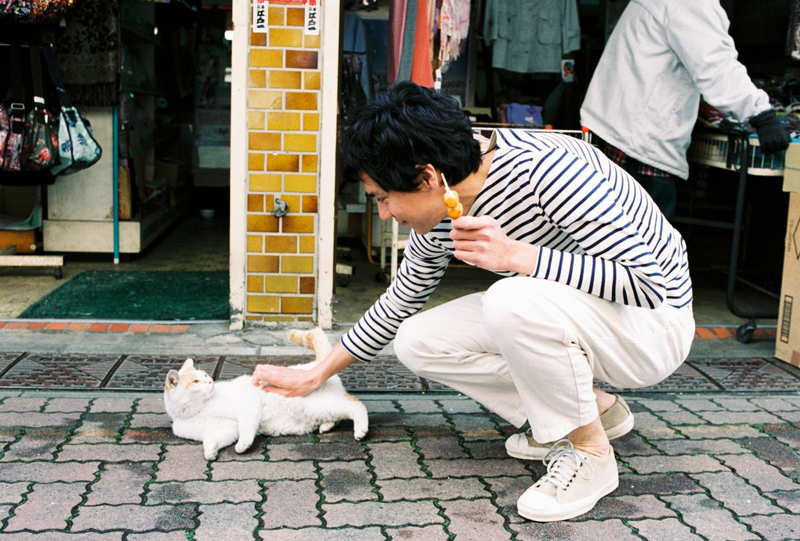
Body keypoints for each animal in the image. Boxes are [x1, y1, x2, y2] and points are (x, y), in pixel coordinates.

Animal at [163, 327, 369, 460]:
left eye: (205, 375)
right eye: (196, 381)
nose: (210, 381)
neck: (198, 409)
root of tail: (318, 363)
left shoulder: (248, 407)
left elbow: (246, 429)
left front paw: (243, 445)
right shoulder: (227, 430)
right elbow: (211, 439)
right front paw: (210, 452)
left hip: (316, 405)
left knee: (356, 404)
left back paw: (360, 430)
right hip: (321, 409)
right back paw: (326, 426)